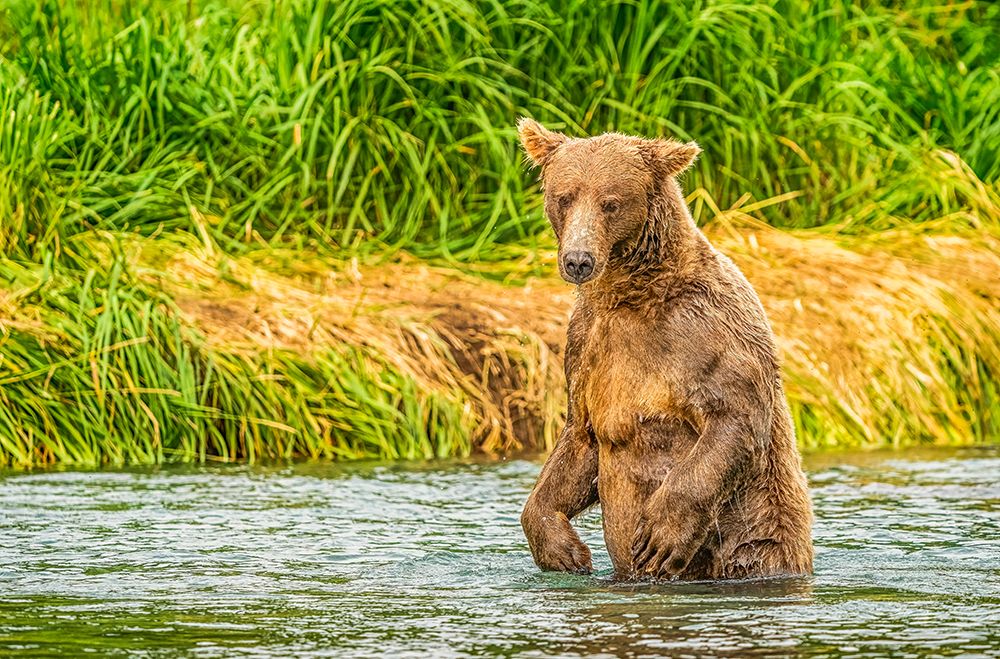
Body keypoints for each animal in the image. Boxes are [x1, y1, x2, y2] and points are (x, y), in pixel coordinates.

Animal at [517, 119, 814, 581]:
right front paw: (565, 550)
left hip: (754, 537)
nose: (579, 260)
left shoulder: (706, 331)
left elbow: (735, 416)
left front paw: (659, 537)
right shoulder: (588, 346)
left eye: (611, 203)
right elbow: (580, 441)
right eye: (563, 196)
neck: (632, 294)